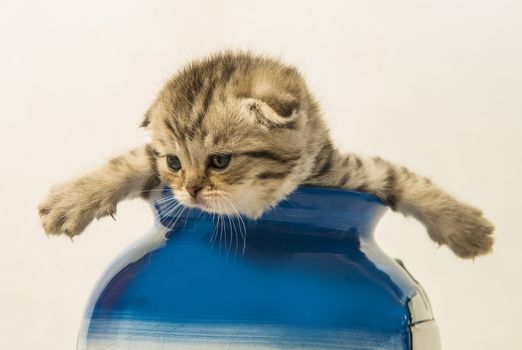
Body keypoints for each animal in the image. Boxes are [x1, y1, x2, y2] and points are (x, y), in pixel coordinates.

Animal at [38, 52, 494, 260]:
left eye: (220, 161)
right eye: (174, 163)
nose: (190, 191)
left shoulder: (340, 171)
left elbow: (402, 178)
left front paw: (465, 227)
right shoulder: (153, 163)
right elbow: (130, 161)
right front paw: (69, 202)